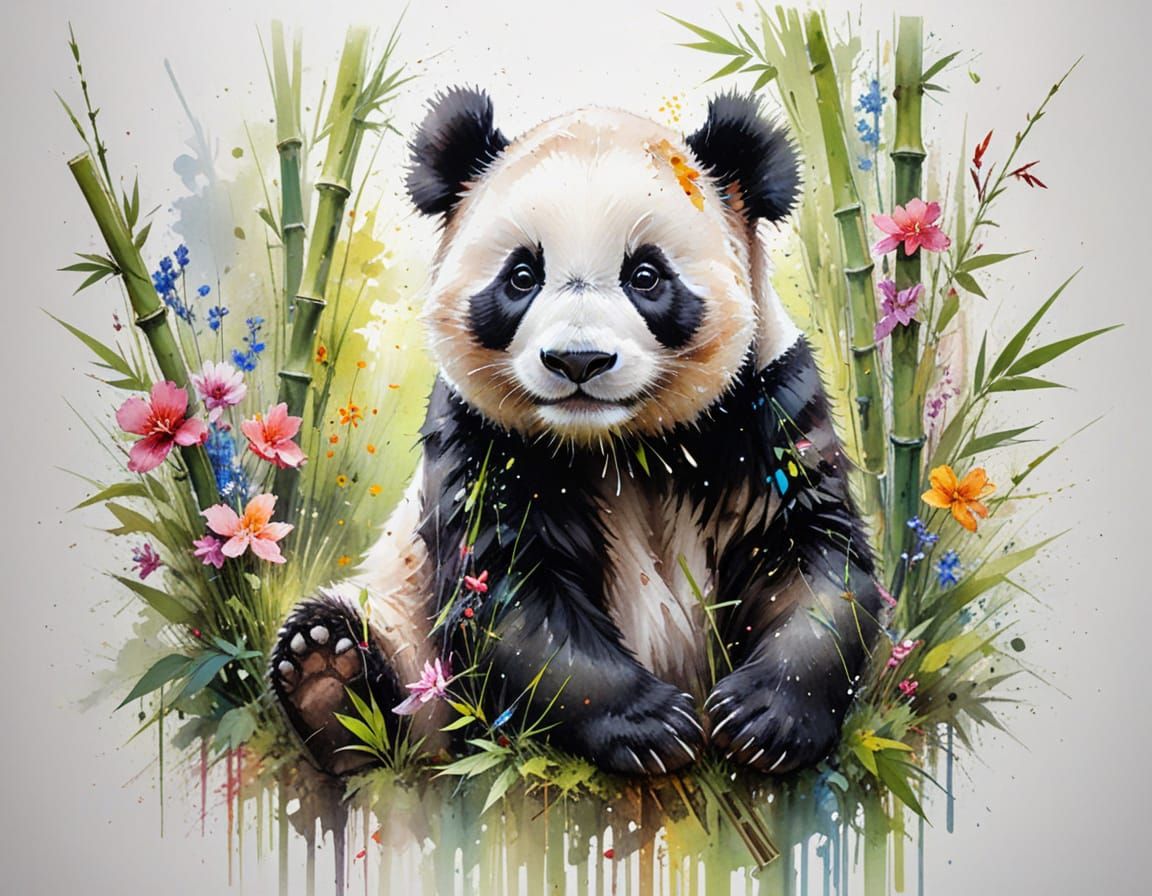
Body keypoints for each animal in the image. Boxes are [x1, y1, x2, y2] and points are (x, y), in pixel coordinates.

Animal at [269, 87, 884, 779]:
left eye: (646, 275)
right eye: (521, 275)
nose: (578, 361)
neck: (624, 444)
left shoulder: (764, 409)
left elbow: (810, 555)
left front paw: (762, 719)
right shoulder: (484, 440)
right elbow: (511, 591)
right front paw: (652, 725)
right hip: (405, 622)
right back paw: (325, 677)